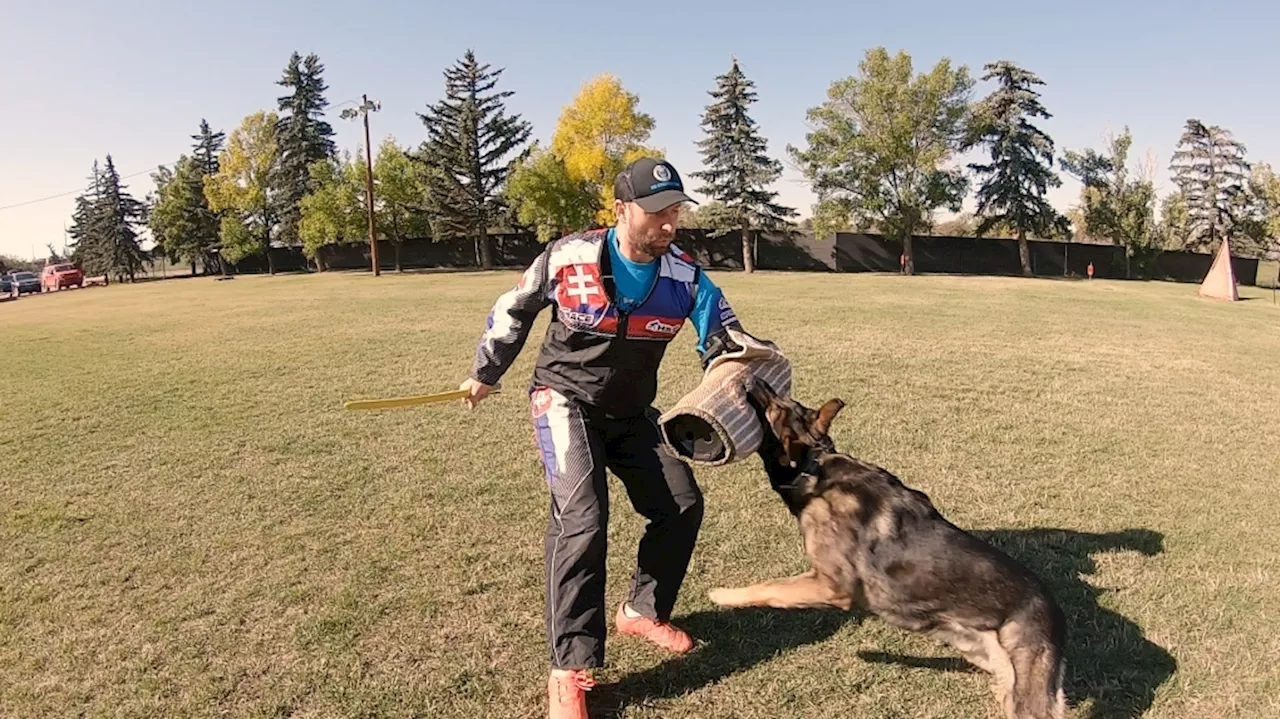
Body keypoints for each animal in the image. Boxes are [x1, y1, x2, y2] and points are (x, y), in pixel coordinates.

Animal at [711, 383, 1070, 716]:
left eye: (777, 406)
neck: (813, 466)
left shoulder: (831, 585)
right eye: (786, 400)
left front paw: (723, 595)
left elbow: (770, 589)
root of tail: (1054, 608)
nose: (754, 380)